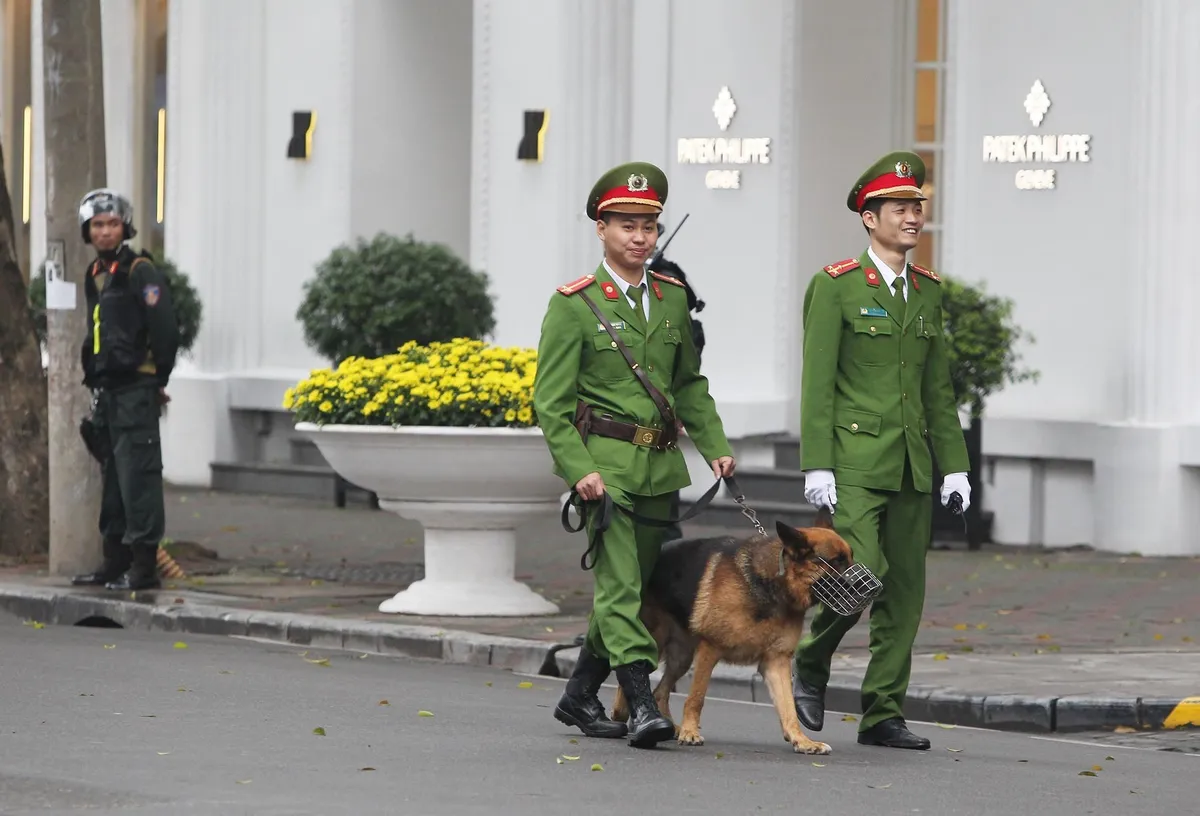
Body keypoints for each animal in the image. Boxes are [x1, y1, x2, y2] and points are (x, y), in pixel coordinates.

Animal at [609, 513, 854, 753]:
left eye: (851, 557)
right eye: (837, 561)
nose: (866, 588)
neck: (772, 582)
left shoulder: (776, 662)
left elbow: (788, 707)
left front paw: (801, 740)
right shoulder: (710, 649)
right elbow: (696, 697)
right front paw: (690, 732)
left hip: (681, 657)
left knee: (660, 691)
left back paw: (668, 726)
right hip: (657, 641)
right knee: (631, 669)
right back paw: (629, 716)